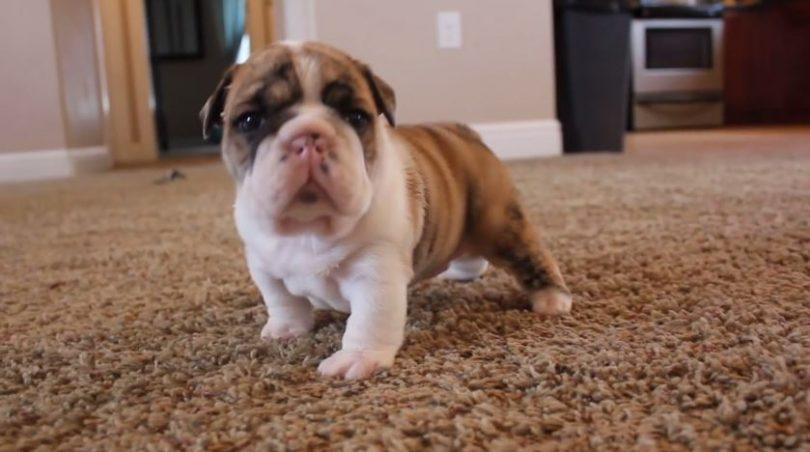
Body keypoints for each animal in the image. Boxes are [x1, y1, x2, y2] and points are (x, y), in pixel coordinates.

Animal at [201, 43, 568, 382]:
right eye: (250, 120)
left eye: (356, 117)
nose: (309, 137)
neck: (310, 229)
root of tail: (467, 135)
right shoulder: (263, 265)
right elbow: (282, 300)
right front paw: (286, 329)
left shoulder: (375, 272)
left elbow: (370, 319)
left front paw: (357, 358)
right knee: (471, 254)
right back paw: (460, 273)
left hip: (501, 223)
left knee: (532, 256)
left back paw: (552, 299)